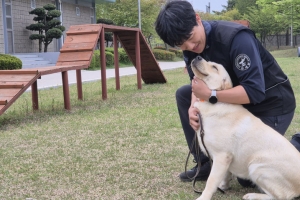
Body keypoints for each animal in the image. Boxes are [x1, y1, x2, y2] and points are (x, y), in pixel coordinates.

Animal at [191, 55, 300, 200]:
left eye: (214, 67)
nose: (197, 56)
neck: (213, 103)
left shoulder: (221, 156)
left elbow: (211, 180)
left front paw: (204, 197)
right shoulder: (226, 159)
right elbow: (225, 175)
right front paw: (223, 186)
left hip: (256, 166)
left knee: (280, 197)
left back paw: (252, 195)